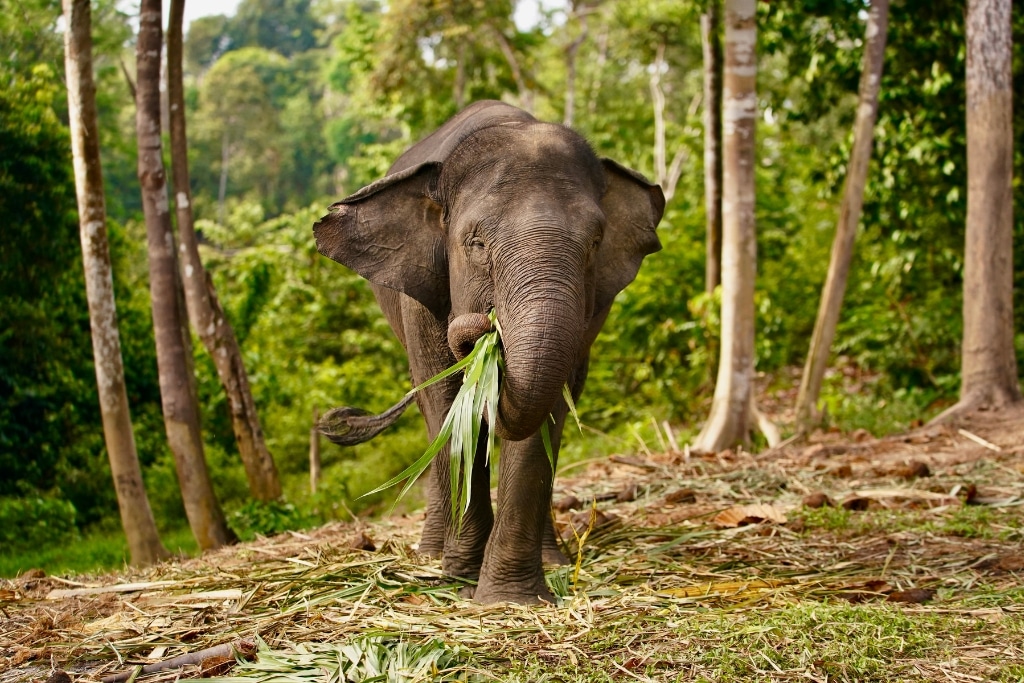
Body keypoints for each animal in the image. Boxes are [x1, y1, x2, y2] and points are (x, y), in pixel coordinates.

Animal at [313, 100, 665, 604]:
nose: (482, 326)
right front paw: (459, 578)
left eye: (596, 243)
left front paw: (507, 597)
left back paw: (552, 559)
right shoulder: (420, 298)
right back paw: (432, 553)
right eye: (476, 243)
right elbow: (445, 402)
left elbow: (548, 410)